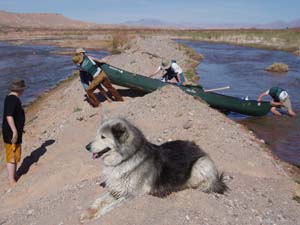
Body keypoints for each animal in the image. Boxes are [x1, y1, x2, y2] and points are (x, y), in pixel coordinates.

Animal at [79, 117, 227, 222]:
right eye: (97, 135)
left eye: (103, 137)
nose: (86, 147)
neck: (127, 158)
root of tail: (198, 148)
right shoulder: (118, 189)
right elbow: (99, 201)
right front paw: (88, 212)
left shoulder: (131, 195)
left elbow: (108, 207)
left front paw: (95, 216)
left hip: (200, 165)